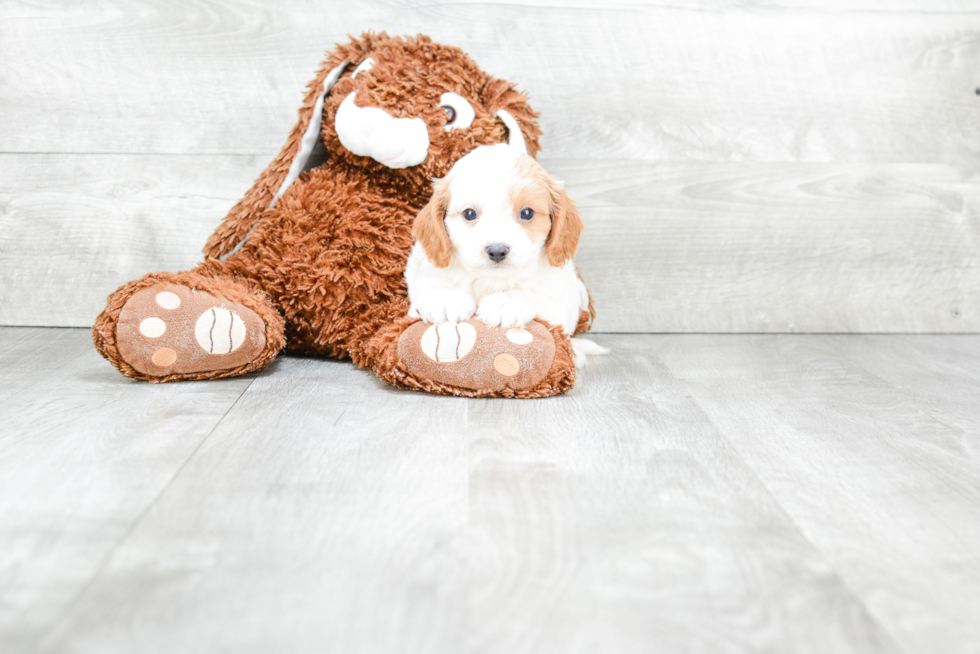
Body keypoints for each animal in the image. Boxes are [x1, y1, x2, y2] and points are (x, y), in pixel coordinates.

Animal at [404, 145, 604, 368]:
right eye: (469, 214)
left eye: (527, 213)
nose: (497, 250)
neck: (490, 281)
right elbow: (429, 286)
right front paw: (445, 298)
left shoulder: (557, 299)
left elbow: (536, 296)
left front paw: (507, 301)